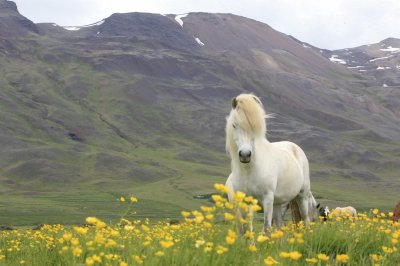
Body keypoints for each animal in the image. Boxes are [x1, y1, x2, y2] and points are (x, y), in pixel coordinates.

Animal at [227, 93, 310, 231]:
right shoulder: (246, 202)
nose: (245, 154)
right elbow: (246, 230)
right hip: (277, 204)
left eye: (254, 126)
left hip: (302, 196)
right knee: (280, 226)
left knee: (306, 220)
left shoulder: (267, 198)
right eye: (234, 125)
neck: (249, 170)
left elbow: (266, 228)